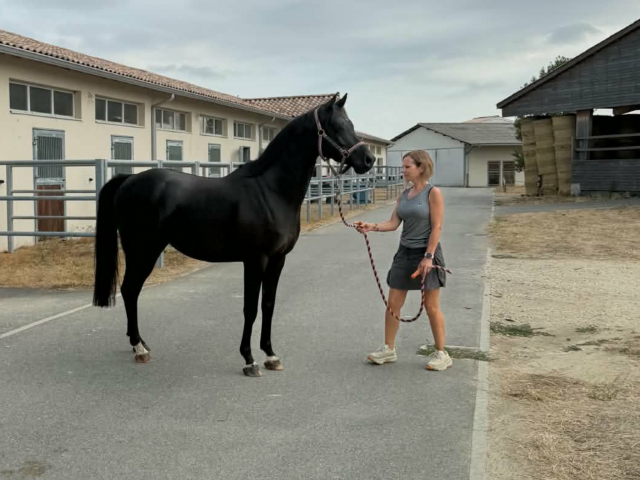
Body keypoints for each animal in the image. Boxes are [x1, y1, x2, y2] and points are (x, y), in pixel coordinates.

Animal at [92, 93, 375, 377]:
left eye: (351, 124)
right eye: (336, 126)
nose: (369, 160)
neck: (270, 192)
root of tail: (128, 180)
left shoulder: (278, 259)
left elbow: (268, 305)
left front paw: (271, 355)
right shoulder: (255, 259)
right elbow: (250, 308)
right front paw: (249, 359)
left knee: (131, 291)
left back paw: (140, 344)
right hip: (142, 250)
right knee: (130, 290)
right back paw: (139, 348)